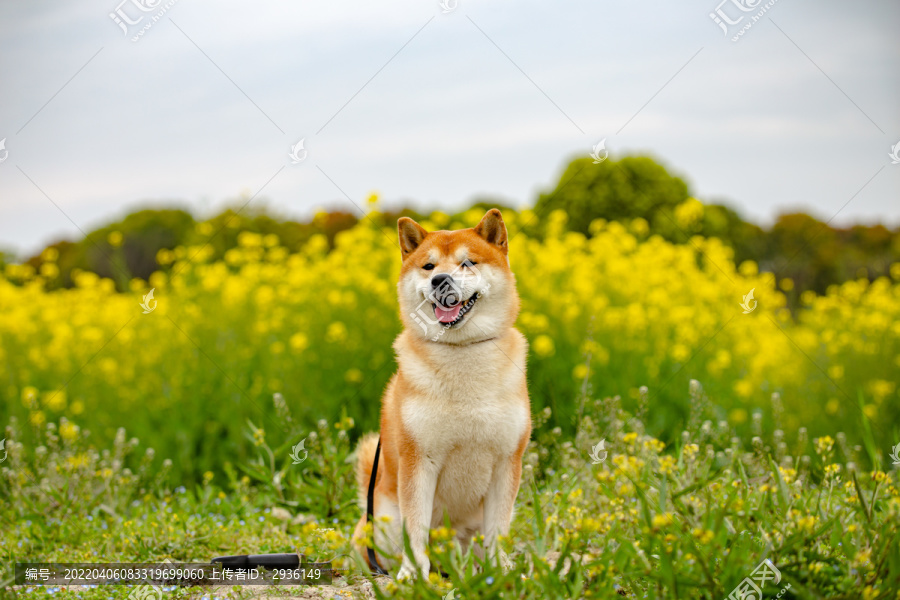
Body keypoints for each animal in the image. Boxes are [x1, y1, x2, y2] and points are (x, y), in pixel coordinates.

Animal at [352, 209, 532, 580]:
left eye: (467, 262)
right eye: (428, 266)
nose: (440, 281)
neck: (462, 354)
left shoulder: (507, 461)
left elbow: (498, 529)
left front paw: (499, 571)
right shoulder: (418, 460)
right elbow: (416, 527)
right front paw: (412, 575)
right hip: (382, 521)